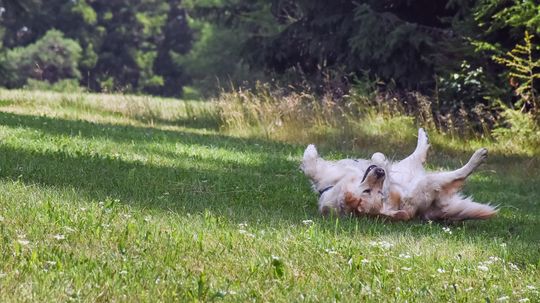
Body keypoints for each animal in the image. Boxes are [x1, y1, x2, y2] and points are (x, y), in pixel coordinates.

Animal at [300, 128, 498, 221]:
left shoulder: (327, 178)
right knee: (456, 173)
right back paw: (478, 157)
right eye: (367, 192)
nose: (380, 173)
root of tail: (426, 212)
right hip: (426, 181)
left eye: (380, 193)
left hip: (410, 173)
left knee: (416, 156)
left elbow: (310, 166)